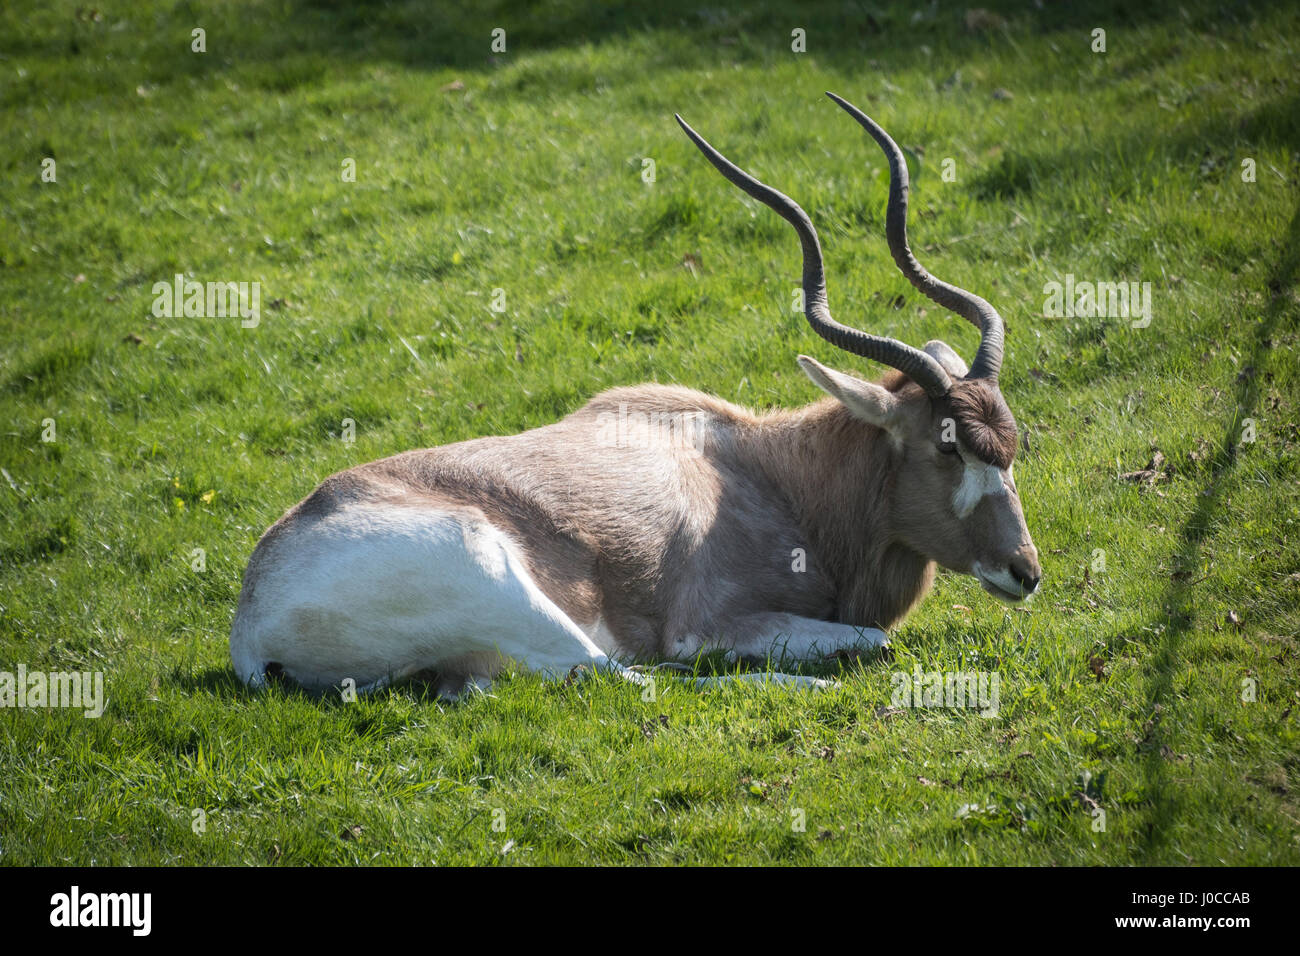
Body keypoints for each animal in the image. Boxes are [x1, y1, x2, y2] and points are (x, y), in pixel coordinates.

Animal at [228, 93, 1040, 697]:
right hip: (502, 582)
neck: (767, 472)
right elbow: (866, 641)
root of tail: (252, 616)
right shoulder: (711, 619)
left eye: (1011, 446)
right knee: (625, 674)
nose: (1024, 572)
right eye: (946, 447)